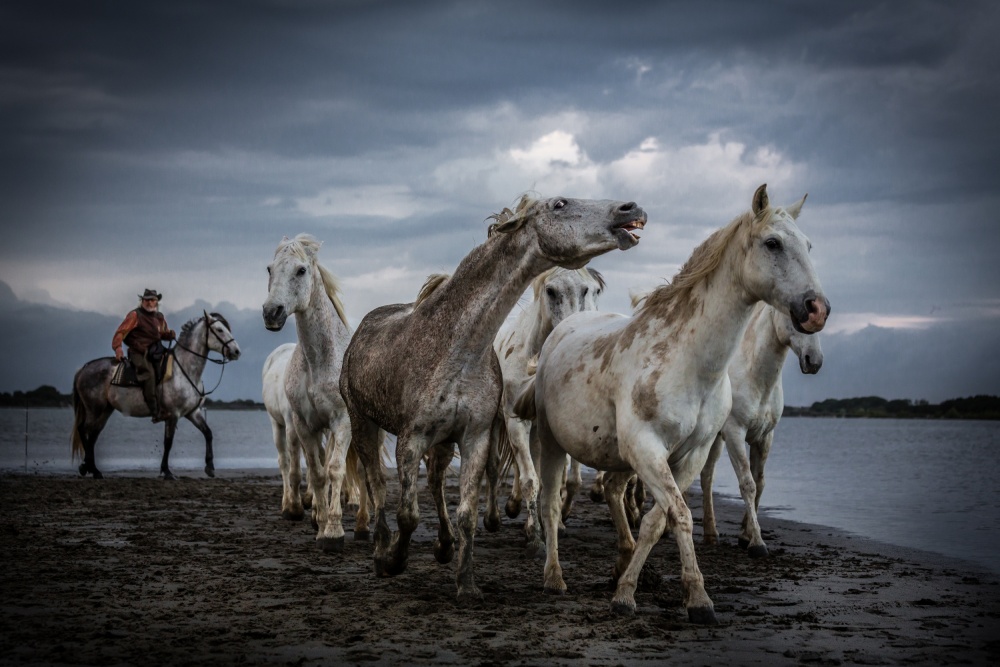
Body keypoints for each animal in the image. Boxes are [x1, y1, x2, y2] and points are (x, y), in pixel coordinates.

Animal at [71, 312, 241, 480]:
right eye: (219, 330)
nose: (236, 351)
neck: (184, 370)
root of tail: (84, 368)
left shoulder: (193, 412)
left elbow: (208, 433)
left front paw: (210, 467)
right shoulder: (173, 415)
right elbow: (168, 442)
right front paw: (167, 471)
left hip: (105, 410)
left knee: (93, 435)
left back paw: (90, 468)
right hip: (94, 409)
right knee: (83, 429)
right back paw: (90, 468)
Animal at [262, 235, 378, 552]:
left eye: (301, 270)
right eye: (269, 269)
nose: (271, 312)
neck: (319, 362)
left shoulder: (342, 422)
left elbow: (336, 469)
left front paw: (334, 532)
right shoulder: (304, 424)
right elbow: (317, 472)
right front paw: (321, 524)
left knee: (364, 471)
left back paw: (363, 526)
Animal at [494, 264, 604, 540]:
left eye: (590, 289)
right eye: (551, 291)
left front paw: (550, 524)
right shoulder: (515, 421)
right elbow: (530, 478)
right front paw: (534, 532)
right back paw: (496, 516)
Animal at [700, 302, 824, 560]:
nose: (814, 361)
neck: (756, 378)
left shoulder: (765, 437)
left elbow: (760, 482)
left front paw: (745, 536)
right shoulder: (735, 433)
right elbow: (747, 483)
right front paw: (757, 543)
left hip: (714, 439)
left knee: (706, 476)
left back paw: (710, 534)